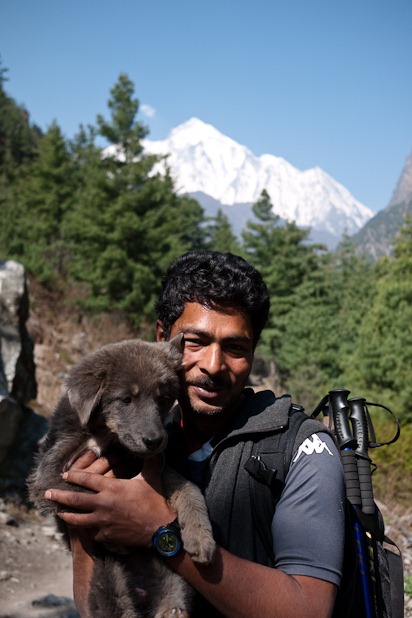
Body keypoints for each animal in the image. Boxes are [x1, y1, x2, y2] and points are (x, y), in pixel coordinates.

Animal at [27, 336, 216, 616]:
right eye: (126, 399)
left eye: (163, 399)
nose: (155, 441)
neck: (107, 435)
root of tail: (142, 591)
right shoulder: (48, 475)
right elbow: (90, 494)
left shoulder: (148, 464)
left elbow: (187, 487)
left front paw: (200, 535)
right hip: (107, 580)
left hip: (175, 581)